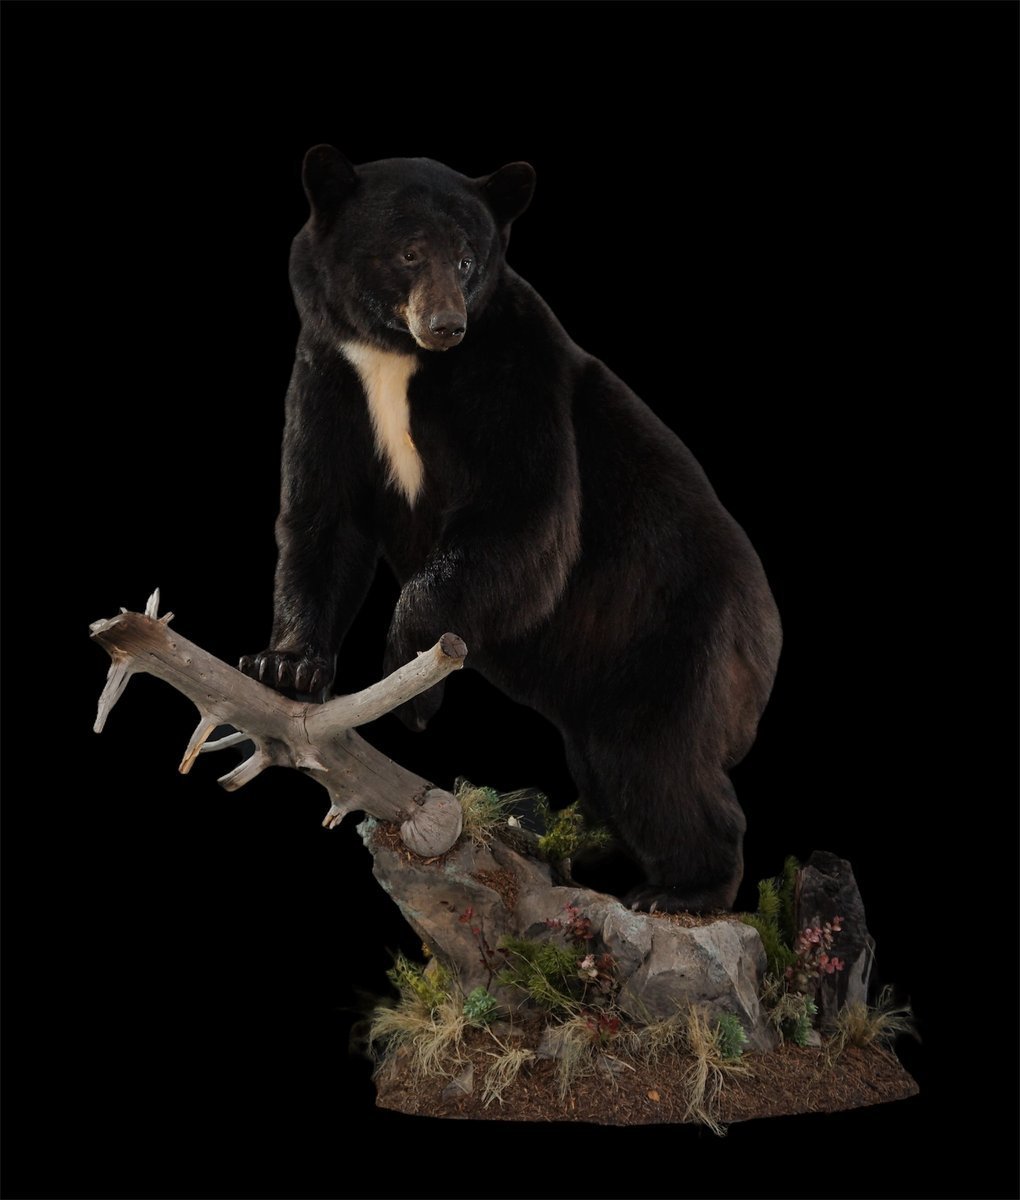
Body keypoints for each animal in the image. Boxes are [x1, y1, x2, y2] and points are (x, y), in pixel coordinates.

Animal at [239, 146, 782, 913]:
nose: (446, 324)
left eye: (468, 258)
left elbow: (526, 519)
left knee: (658, 761)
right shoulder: (327, 376)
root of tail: (768, 645)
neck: (394, 360)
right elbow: (322, 521)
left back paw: (680, 892)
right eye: (408, 252)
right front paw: (285, 666)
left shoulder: (517, 374)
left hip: (684, 634)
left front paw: (413, 685)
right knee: (611, 764)